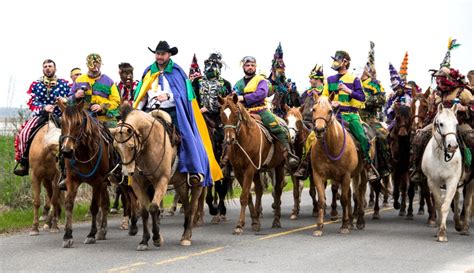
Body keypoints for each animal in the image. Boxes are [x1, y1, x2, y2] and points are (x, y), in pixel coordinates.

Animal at [57, 99, 112, 248]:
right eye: (62, 123)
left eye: (78, 123)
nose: (67, 151)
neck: (83, 152)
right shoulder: (72, 180)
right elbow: (69, 204)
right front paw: (67, 236)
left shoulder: (97, 182)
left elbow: (94, 207)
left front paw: (91, 234)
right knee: (105, 203)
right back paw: (102, 231)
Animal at [110, 106, 205, 249]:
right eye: (116, 147)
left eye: (131, 146)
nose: (126, 173)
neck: (150, 145)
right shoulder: (138, 185)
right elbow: (144, 211)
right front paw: (144, 240)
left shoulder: (162, 181)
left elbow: (154, 207)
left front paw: (156, 238)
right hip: (180, 184)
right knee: (186, 205)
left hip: (196, 184)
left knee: (192, 207)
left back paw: (186, 237)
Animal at [218, 94, 286, 234]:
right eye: (222, 114)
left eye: (235, 113)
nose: (229, 139)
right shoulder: (239, 171)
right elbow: (248, 195)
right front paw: (254, 221)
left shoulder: (249, 169)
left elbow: (244, 196)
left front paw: (239, 225)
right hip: (258, 171)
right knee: (259, 189)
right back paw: (258, 217)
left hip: (279, 166)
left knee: (277, 190)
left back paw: (276, 220)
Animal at [310, 94, 368, 235]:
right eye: (314, 109)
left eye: (330, 111)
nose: (319, 130)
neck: (331, 146)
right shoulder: (318, 175)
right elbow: (321, 200)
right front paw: (319, 227)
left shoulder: (345, 175)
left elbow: (344, 200)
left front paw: (344, 225)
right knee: (352, 193)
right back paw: (352, 220)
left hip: (363, 171)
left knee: (361, 191)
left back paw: (359, 221)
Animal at [420, 103, 464, 241]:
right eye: (441, 123)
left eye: (456, 123)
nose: (452, 146)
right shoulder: (432, 181)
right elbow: (439, 204)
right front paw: (438, 228)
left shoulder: (452, 180)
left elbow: (445, 205)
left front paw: (442, 233)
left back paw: (461, 225)